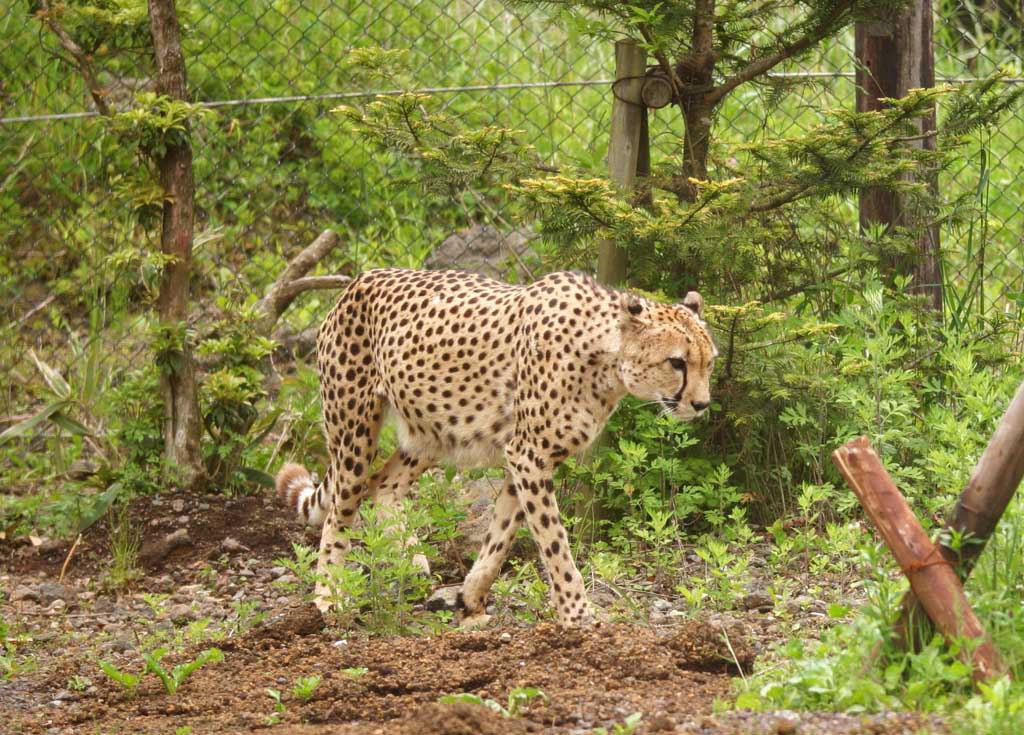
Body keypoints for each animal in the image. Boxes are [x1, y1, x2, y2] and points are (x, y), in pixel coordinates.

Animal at [276, 270, 716, 626]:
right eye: (677, 362)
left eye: (709, 362)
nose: (701, 404)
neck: (606, 360)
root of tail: (358, 280)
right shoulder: (529, 454)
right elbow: (554, 542)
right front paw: (578, 614)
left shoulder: (526, 457)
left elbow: (502, 534)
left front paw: (471, 597)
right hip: (355, 432)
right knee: (340, 511)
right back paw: (329, 596)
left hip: (431, 427)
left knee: (383, 485)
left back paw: (411, 561)